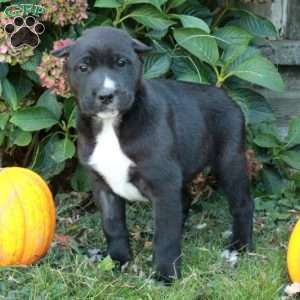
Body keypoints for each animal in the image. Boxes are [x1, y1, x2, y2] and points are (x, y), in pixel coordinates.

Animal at [52, 27, 254, 282]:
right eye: (83, 67)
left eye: (121, 63)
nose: (106, 95)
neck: (111, 126)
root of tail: (225, 94)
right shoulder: (103, 186)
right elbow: (113, 226)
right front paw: (118, 261)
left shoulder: (163, 184)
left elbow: (165, 236)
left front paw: (165, 275)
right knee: (185, 199)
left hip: (230, 161)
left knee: (243, 204)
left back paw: (239, 247)